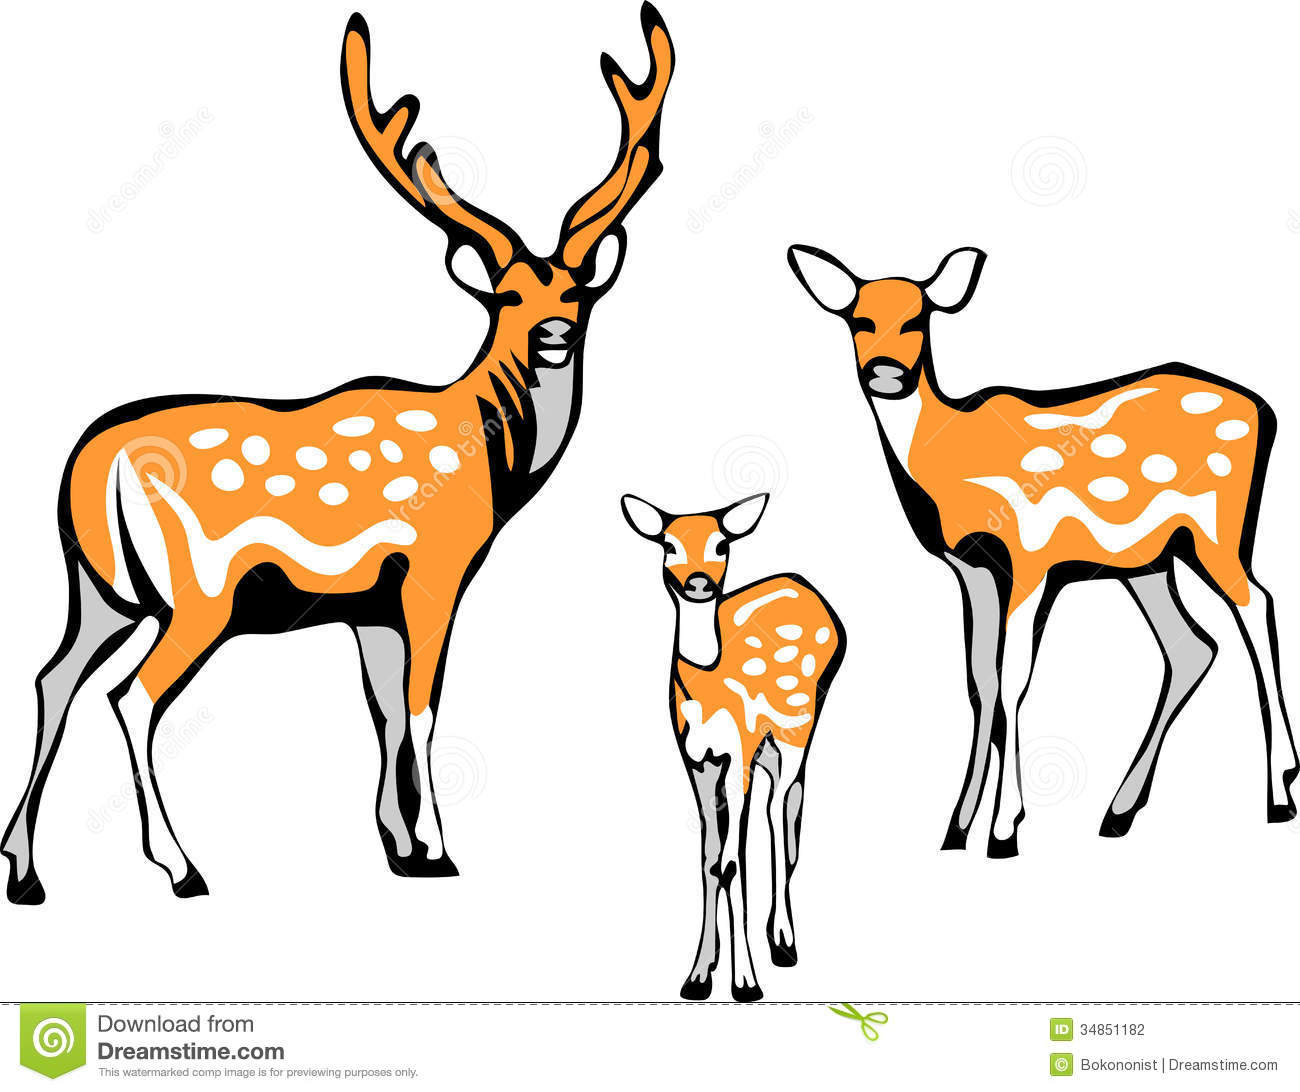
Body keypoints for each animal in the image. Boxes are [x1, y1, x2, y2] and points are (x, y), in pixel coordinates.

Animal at [2, 7, 674, 904]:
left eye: (574, 290)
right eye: (506, 296)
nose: (554, 336)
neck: (491, 463)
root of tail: (87, 466)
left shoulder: (366, 606)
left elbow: (382, 709)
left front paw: (398, 848)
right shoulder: (433, 571)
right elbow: (423, 706)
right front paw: (440, 849)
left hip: (98, 589)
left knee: (53, 677)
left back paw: (25, 872)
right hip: (198, 594)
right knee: (131, 696)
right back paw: (182, 867)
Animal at [621, 493, 846, 1001]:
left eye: (721, 544)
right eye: (668, 544)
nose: (698, 582)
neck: (708, 688)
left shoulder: (739, 752)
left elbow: (732, 862)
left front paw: (745, 983)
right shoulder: (696, 759)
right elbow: (709, 859)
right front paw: (698, 977)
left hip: (799, 724)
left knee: (779, 811)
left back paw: (783, 942)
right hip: (770, 746)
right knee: (783, 807)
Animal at [787, 243, 1299, 857]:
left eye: (919, 319)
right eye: (858, 320)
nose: (885, 372)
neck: (946, 461)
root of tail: (1265, 410)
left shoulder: (1030, 555)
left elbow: (1012, 679)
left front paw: (1004, 829)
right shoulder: (972, 568)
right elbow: (980, 682)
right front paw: (957, 828)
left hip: (1217, 528)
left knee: (1257, 606)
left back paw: (1279, 791)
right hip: (1147, 560)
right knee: (1192, 645)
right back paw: (1119, 809)